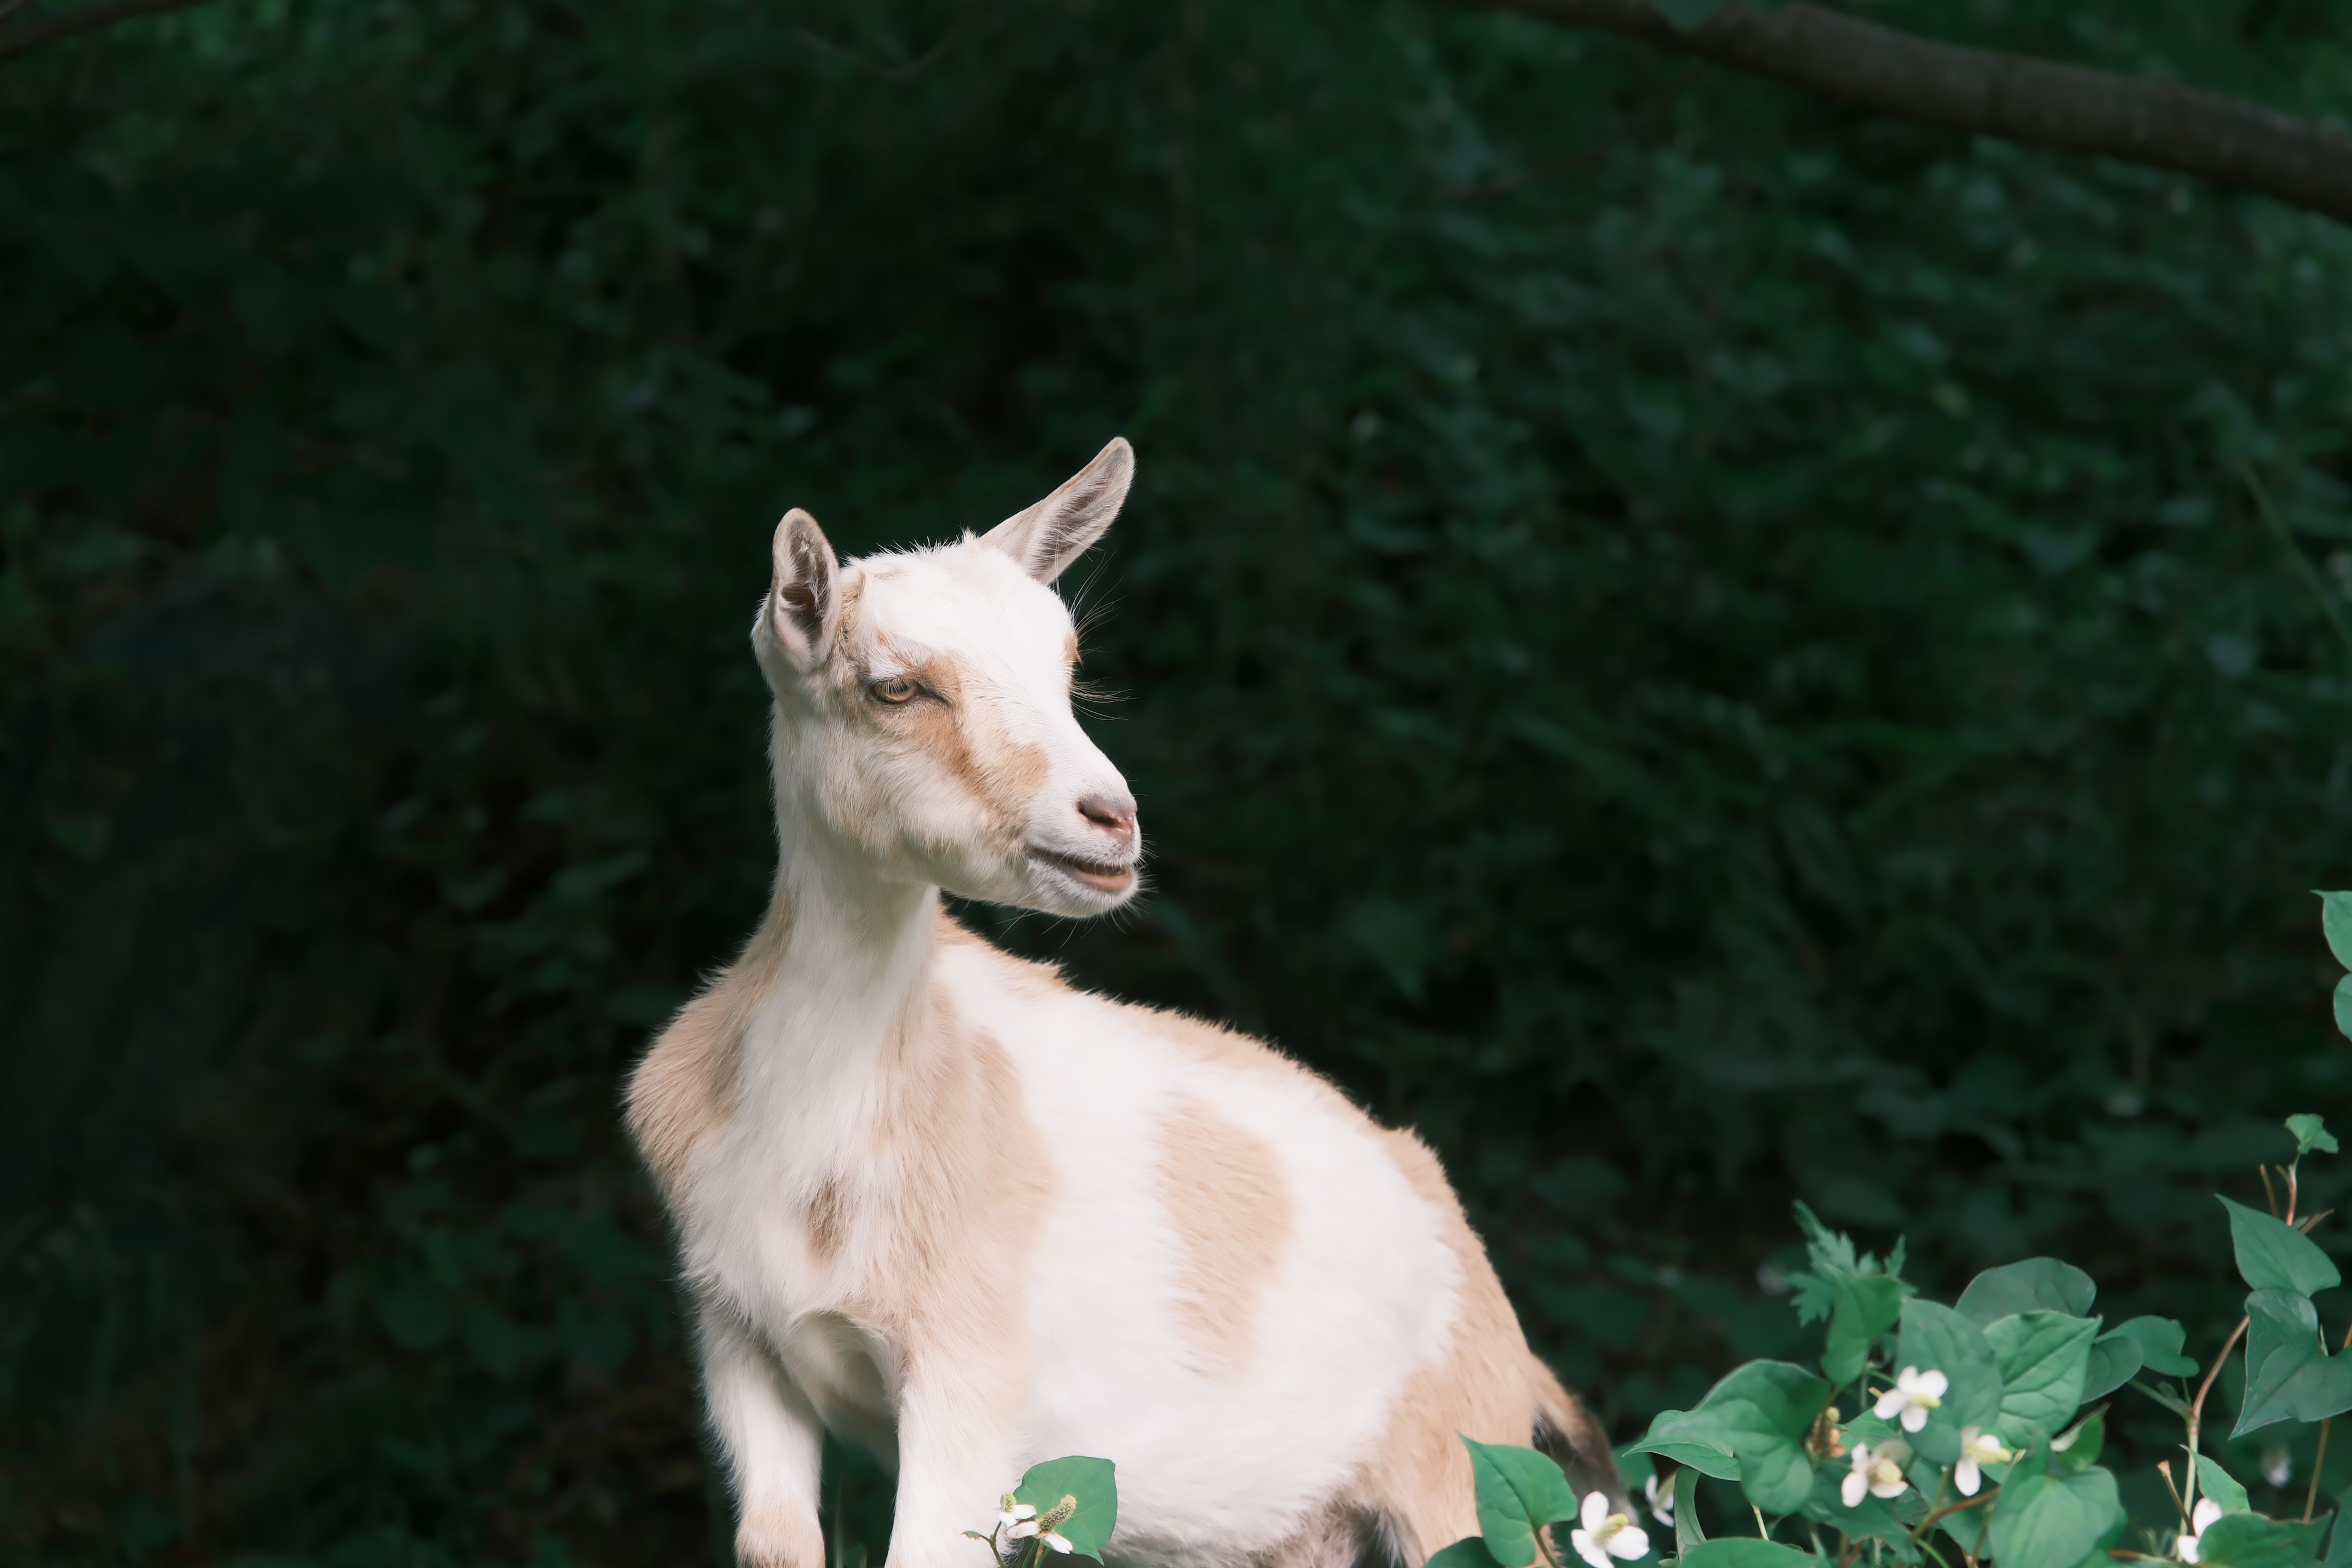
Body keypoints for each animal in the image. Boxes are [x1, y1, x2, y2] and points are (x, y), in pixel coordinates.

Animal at [625, 439, 1618, 1568]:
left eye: (1067, 668)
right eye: (895, 686)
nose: (1110, 819)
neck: (819, 1139)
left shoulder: (974, 1381)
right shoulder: (740, 1346)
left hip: (1466, 1478)